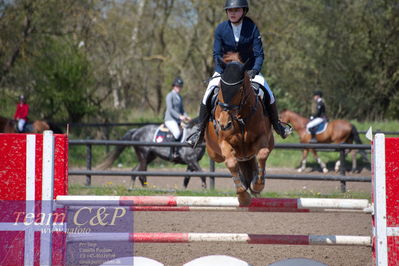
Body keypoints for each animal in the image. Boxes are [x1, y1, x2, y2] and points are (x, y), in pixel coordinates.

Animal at [206, 52, 276, 206]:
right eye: (220, 88)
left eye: (239, 90)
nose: (223, 124)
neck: (240, 117)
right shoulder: (224, 143)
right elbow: (231, 163)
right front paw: (243, 197)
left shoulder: (262, 138)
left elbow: (262, 154)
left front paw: (257, 185)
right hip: (214, 153)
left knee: (254, 160)